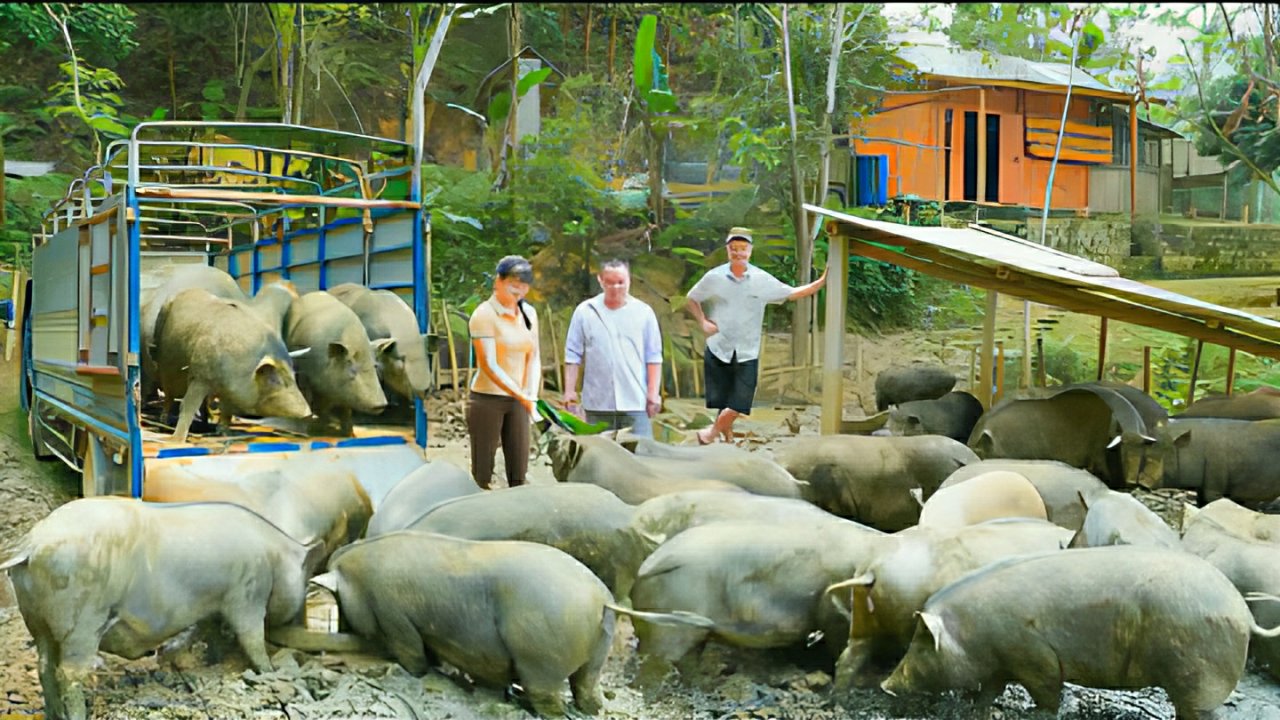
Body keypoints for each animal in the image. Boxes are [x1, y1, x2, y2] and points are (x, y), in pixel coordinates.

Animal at [1, 498, 324, 720]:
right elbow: (251, 636)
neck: (275, 556)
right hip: (82, 621)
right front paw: (269, 671)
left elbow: (209, 632)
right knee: (68, 673)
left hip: (36, 619)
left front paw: (210, 664)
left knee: (44, 666)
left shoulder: (212, 606)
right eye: (306, 579)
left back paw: (51, 714)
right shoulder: (246, 593)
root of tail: (31, 546)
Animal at [152, 287, 311, 441]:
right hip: (165, 367)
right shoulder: (199, 376)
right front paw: (178, 440)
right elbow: (187, 407)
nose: (308, 413)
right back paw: (164, 422)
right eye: (274, 380)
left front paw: (224, 433)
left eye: (293, 376)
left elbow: (227, 412)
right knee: (169, 397)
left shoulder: (230, 392)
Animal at [285, 291, 388, 435]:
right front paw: (314, 430)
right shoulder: (307, 378)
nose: (381, 404)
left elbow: (345, 410)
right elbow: (313, 403)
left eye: (374, 366)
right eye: (350, 366)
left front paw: (350, 434)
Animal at [318, 531, 711, 716]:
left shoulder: (395, 616)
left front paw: (413, 671)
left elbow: (412, 655)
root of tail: (601, 597)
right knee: (587, 689)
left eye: (342, 606)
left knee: (548, 696)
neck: (359, 578)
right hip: (598, 647)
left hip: (541, 651)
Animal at [880, 546, 1280, 719]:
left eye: (922, 646)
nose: (886, 684)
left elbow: (1047, 690)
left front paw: (1038, 712)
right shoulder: (1000, 663)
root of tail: (1243, 612)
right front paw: (977, 706)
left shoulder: (1033, 655)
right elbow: (990, 687)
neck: (972, 632)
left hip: (1195, 673)